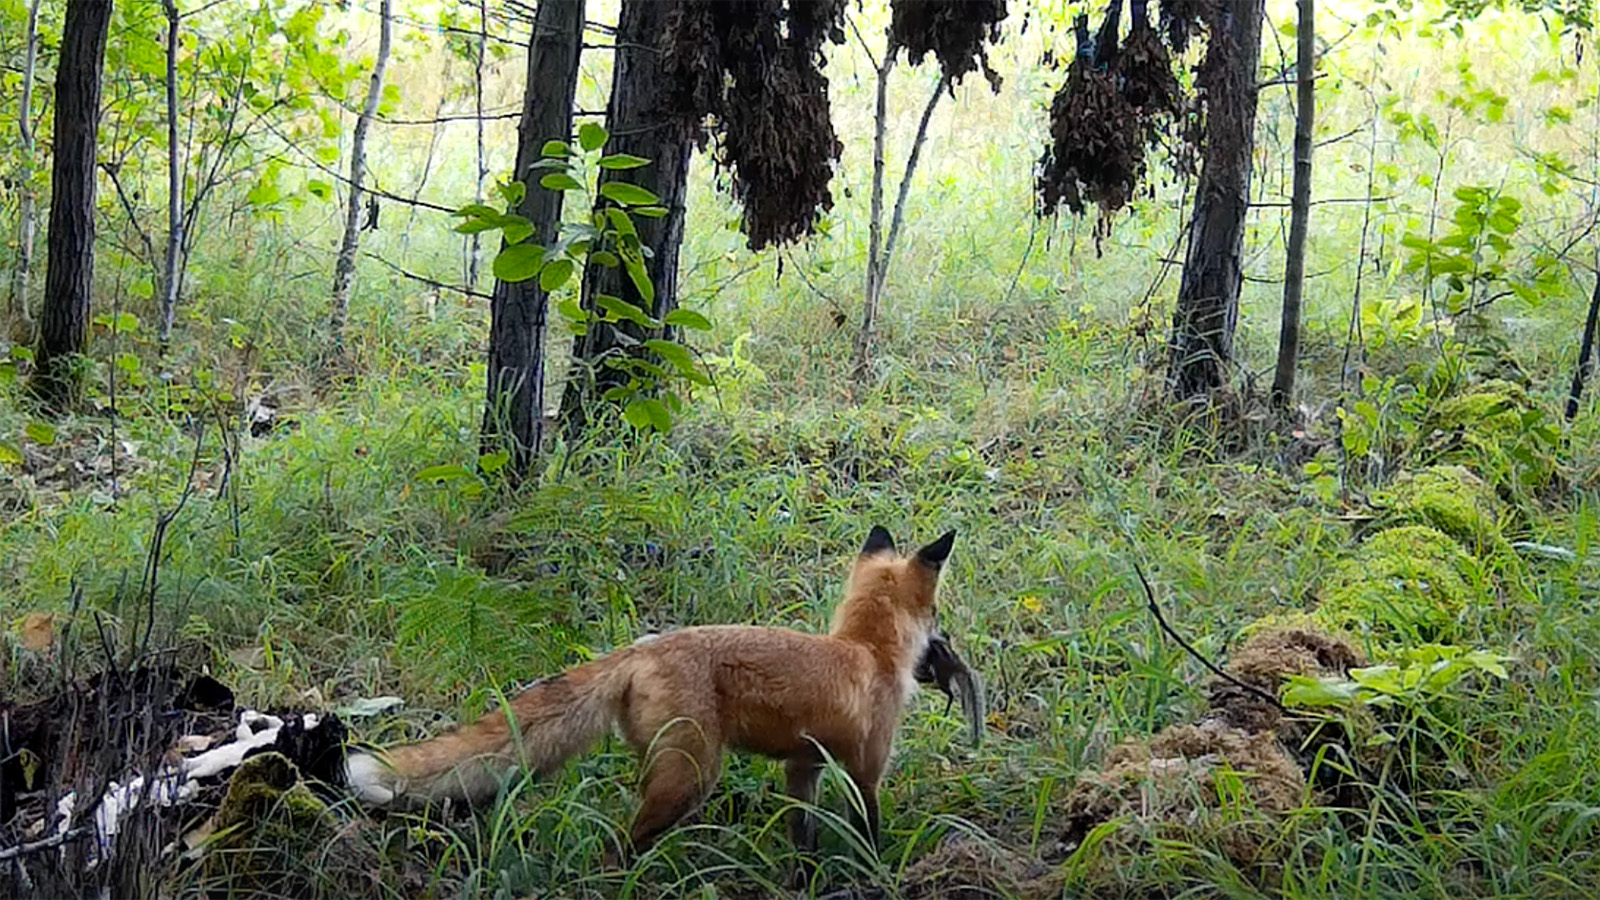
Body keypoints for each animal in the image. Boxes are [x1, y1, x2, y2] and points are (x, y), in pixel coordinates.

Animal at [345, 525, 953, 851]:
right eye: (937, 614)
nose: (942, 649)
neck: (865, 651)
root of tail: (643, 647)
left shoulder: (802, 768)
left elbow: (801, 838)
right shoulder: (865, 769)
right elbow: (869, 829)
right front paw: (874, 869)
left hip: (666, 768)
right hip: (692, 778)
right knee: (618, 845)